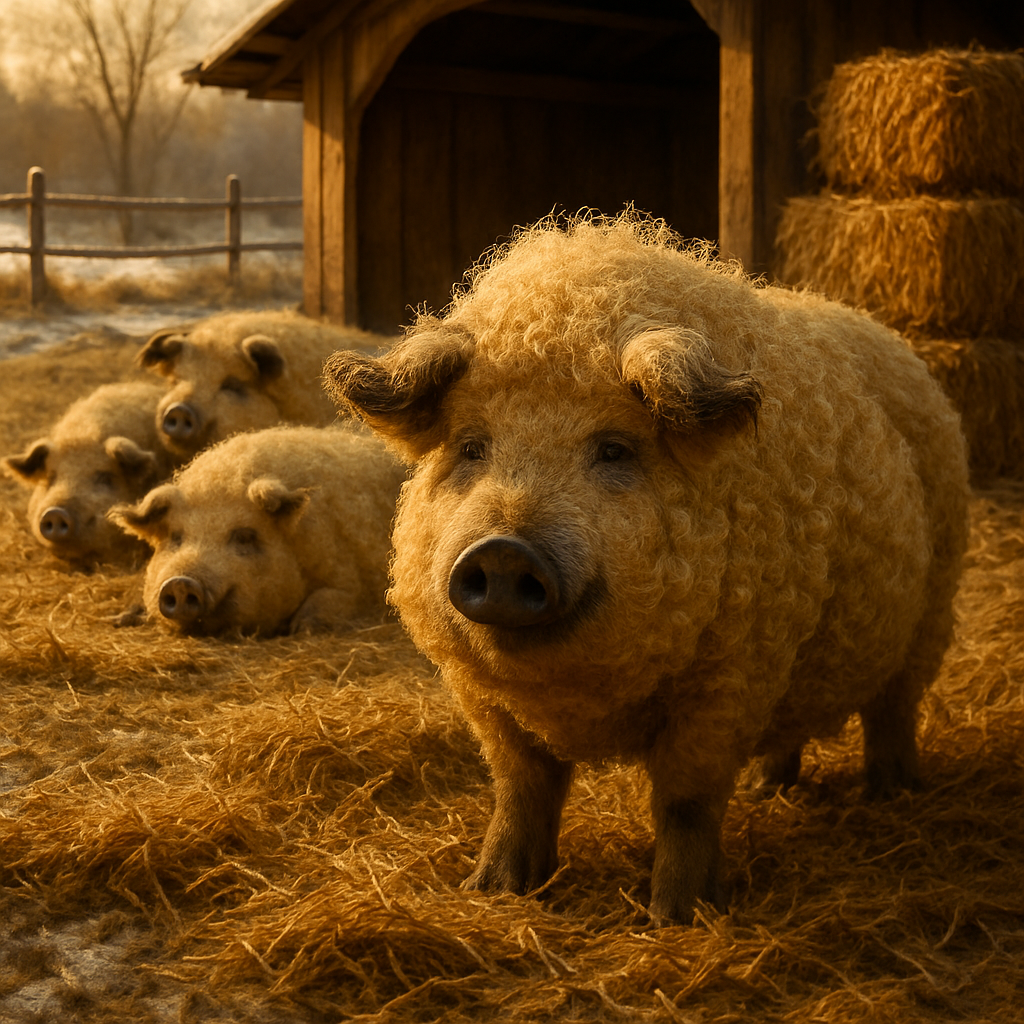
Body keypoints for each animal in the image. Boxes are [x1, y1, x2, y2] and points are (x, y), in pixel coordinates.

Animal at [108, 425, 405, 636]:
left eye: (244, 536)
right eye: (175, 537)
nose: (180, 583)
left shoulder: (349, 581)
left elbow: (330, 600)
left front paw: (303, 629)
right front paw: (120, 619)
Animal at [323, 212, 970, 925]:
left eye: (614, 449)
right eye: (471, 447)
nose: (503, 551)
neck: (578, 697)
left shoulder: (732, 677)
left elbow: (684, 802)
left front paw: (674, 918)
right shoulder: (481, 697)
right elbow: (522, 788)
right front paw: (490, 891)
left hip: (933, 609)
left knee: (893, 710)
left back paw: (889, 794)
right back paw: (769, 788)